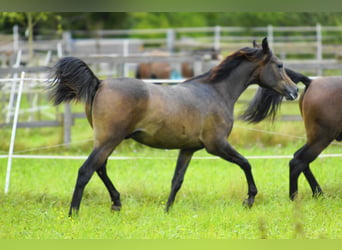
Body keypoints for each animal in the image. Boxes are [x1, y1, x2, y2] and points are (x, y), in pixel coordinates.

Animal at [49, 38, 298, 216]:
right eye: (279, 65)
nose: (295, 91)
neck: (216, 92)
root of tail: (100, 83)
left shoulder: (188, 149)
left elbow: (177, 180)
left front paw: (167, 210)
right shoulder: (217, 145)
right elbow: (246, 164)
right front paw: (249, 199)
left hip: (106, 141)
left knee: (100, 168)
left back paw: (116, 203)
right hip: (109, 140)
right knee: (86, 170)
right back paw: (74, 213)